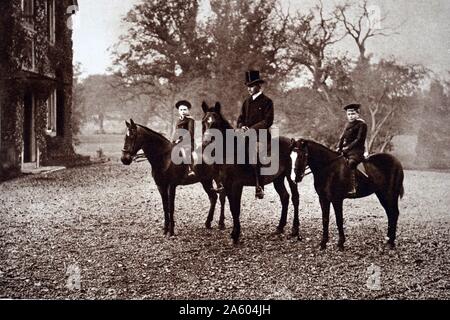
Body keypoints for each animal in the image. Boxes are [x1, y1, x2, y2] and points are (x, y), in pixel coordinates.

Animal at [200, 102, 298, 245]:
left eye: (216, 122)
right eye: (203, 121)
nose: (206, 142)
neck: (231, 151)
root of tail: (292, 142)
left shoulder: (236, 185)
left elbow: (236, 209)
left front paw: (236, 234)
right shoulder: (227, 185)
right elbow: (232, 207)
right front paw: (234, 233)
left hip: (291, 177)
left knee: (295, 198)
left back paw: (295, 229)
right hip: (278, 179)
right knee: (285, 197)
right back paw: (280, 227)